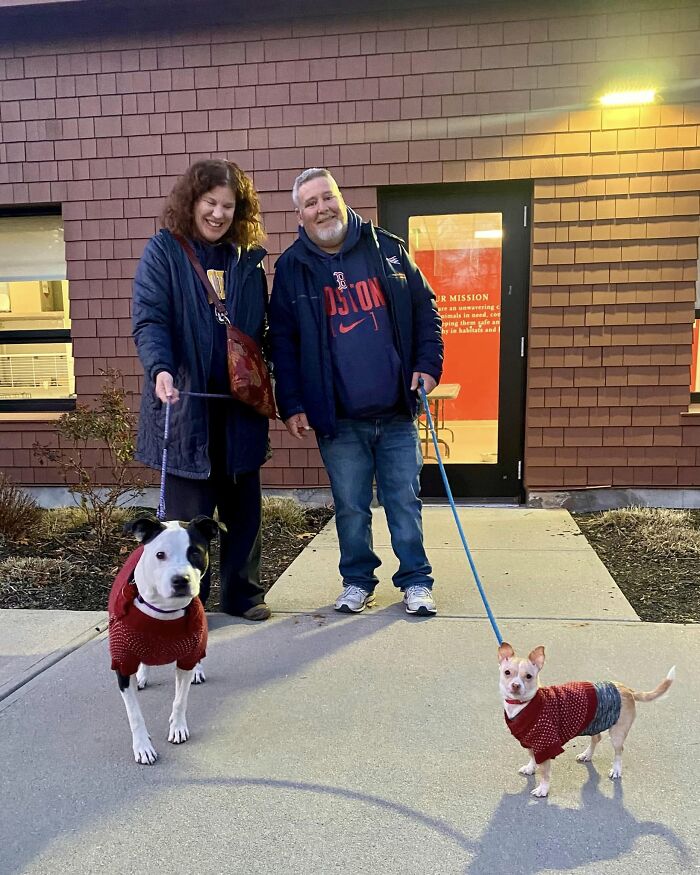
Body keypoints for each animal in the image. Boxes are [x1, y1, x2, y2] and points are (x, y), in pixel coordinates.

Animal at [109, 516, 221, 764]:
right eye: (160, 554)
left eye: (195, 552)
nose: (181, 580)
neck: (163, 611)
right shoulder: (123, 665)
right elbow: (135, 715)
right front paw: (143, 747)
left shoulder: (186, 658)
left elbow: (180, 700)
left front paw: (177, 728)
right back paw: (142, 676)